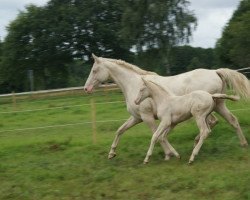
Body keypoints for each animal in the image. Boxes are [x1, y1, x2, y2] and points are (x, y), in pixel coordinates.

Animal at [84, 54, 250, 160]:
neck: (133, 84)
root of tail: (215, 72)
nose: (86, 88)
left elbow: (157, 135)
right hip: (218, 105)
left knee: (211, 124)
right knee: (231, 120)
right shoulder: (136, 117)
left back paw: (196, 146)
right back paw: (243, 144)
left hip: (207, 109)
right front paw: (111, 153)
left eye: (94, 70)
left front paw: (169, 154)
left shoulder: (147, 117)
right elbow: (120, 130)